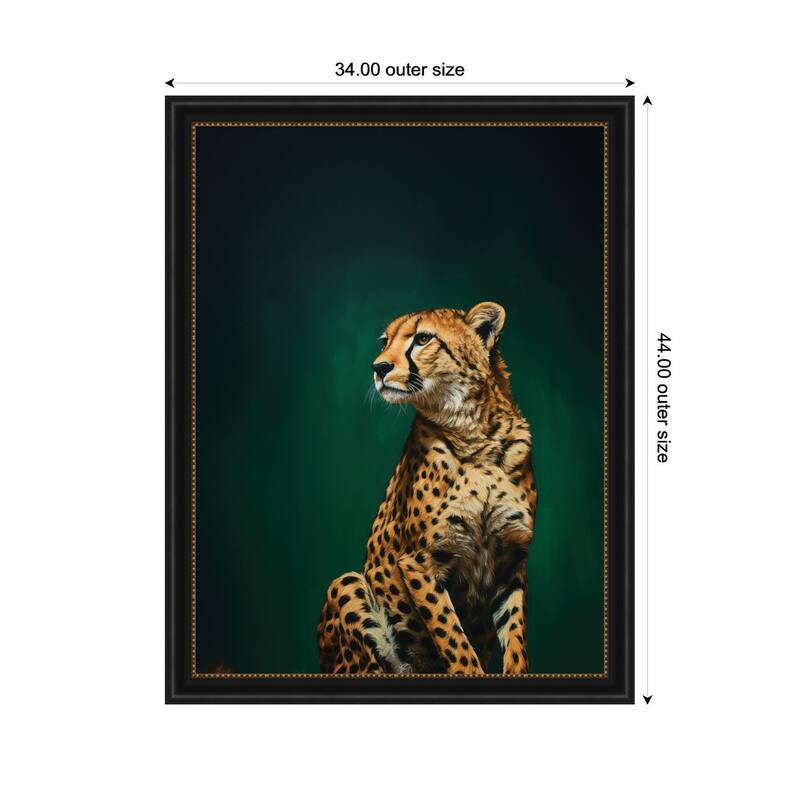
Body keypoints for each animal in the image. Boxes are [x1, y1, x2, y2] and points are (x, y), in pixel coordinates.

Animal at [316, 302, 537, 675]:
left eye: (422, 338)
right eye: (385, 341)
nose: (378, 367)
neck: (475, 433)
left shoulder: (511, 560)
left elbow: (517, 637)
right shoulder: (419, 561)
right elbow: (452, 636)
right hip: (346, 585)